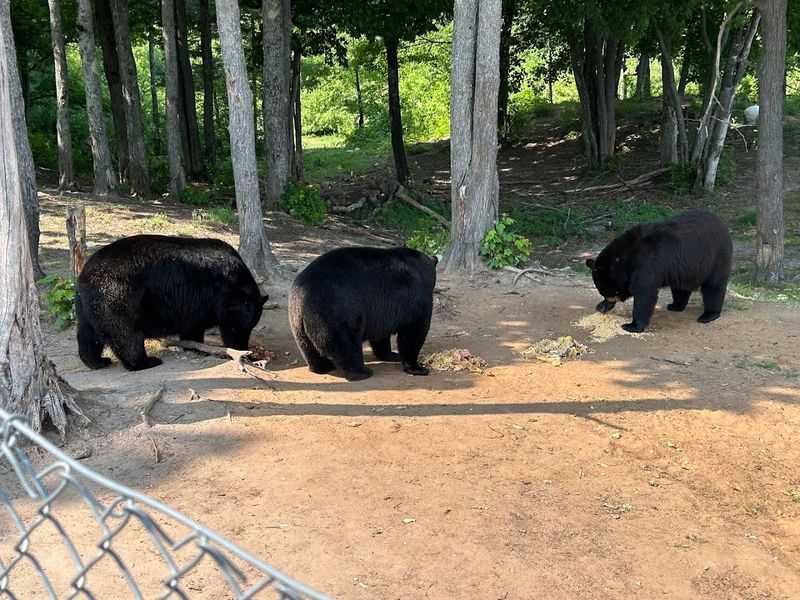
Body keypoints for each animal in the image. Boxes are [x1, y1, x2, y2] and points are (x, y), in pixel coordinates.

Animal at [75, 235, 267, 371]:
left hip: (87, 307)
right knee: (126, 333)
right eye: (238, 329)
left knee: (87, 335)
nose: (246, 351)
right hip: (120, 296)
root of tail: (85, 276)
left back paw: (97, 361)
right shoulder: (211, 296)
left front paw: (194, 347)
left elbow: (192, 328)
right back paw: (147, 361)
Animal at [288, 246, 438, 381]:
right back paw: (361, 372)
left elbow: (381, 334)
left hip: (298, 323)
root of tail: (304, 302)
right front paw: (418, 367)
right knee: (346, 345)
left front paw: (391, 354)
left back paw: (323, 367)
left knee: (308, 347)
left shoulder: (381, 310)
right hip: (338, 311)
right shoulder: (415, 297)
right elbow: (414, 332)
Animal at [585, 209, 733, 333]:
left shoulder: (646, 264)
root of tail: (722, 223)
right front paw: (601, 306)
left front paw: (632, 325)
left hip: (716, 256)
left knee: (714, 286)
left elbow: (644, 294)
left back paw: (708, 315)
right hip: (683, 267)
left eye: (611, 292)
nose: (607, 303)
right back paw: (675, 306)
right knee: (680, 288)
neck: (624, 258)